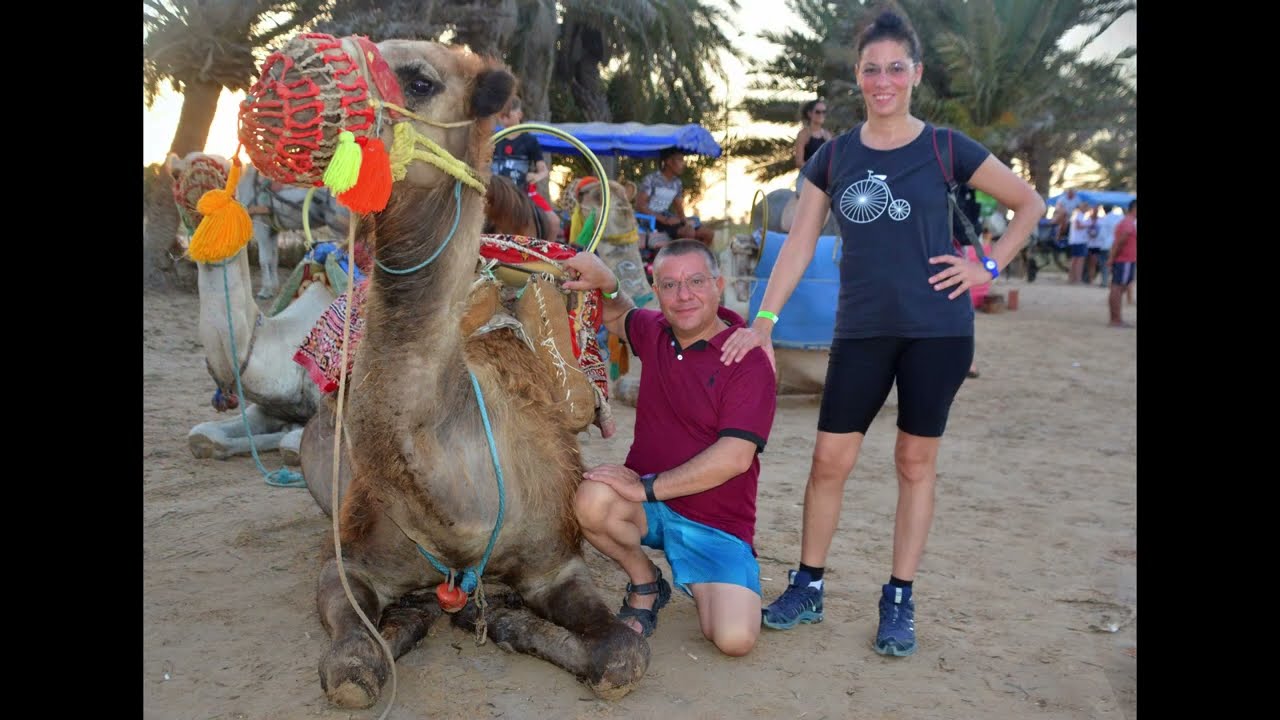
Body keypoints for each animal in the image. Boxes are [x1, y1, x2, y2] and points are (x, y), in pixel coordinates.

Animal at [238, 34, 649, 708]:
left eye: (420, 81)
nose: (283, 73)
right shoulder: (348, 559)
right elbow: (353, 668)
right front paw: (411, 619)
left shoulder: (558, 557)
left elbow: (621, 655)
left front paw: (506, 617)